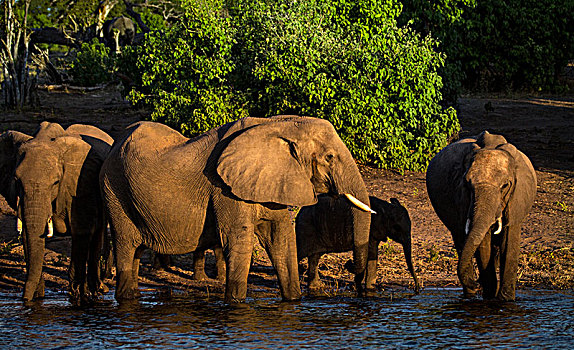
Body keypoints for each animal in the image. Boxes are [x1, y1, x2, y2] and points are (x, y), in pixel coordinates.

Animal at [5, 121, 113, 302]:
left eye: (55, 182)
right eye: (16, 180)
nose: (24, 300)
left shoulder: (80, 183)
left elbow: (81, 231)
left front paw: (78, 297)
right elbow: (28, 234)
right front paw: (37, 296)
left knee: (97, 233)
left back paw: (98, 290)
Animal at [100, 117, 374, 304]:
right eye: (329, 157)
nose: (350, 268)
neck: (277, 125)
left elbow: (281, 238)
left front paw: (293, 301)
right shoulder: (225, 189)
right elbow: (238, 239)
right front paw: (236, 304)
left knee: (136, 250)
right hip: (113, 189)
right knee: (125, 244)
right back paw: (126, 299)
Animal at [296, 196, 424, 294]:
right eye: (397, 227)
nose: (416, 289)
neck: (386, 207)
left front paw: (367, 289)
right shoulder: (371, 229)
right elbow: (369, 254)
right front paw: (365, 288)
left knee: (315, 257)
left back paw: (317, 287)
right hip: (305, 229)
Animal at [428, 131, 540, 300]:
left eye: (505, 186)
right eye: (467, 185)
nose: (476, 283)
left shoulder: (517, 198)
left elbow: (510, 243)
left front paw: (505, 300)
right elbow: (483, 244)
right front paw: (490, 297)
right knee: (460, 239)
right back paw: (471, 295)